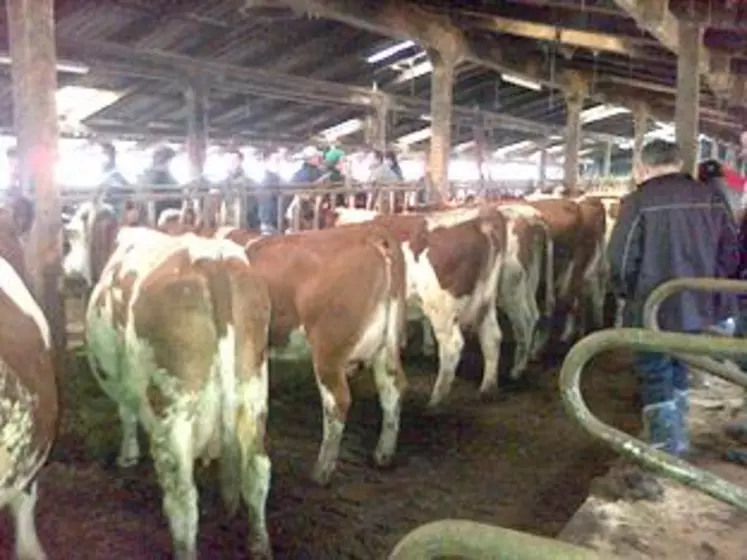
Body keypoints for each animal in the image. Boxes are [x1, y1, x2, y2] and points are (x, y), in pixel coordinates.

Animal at [244, 224, 410, 486]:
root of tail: (372, 234)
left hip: (328, 349)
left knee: (337, 401)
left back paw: (321, 471)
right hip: (386, 346)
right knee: (393, 389)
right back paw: (383, 455)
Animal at [332, 206, 508, 402]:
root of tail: (480, 219)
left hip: (442, 307)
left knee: (452, 347)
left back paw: (436, 399)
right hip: (486, 302)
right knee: (492, 337)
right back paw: (487, 388)